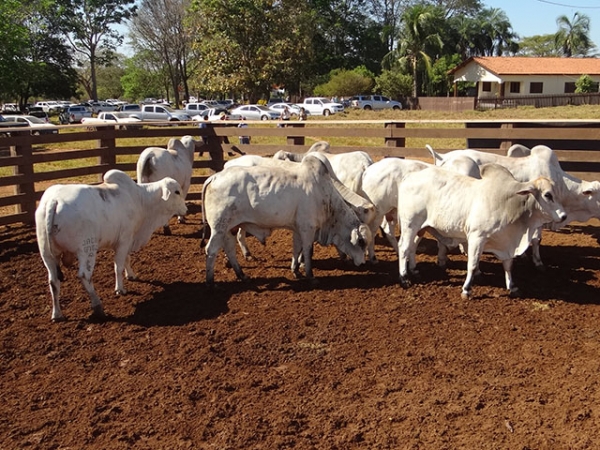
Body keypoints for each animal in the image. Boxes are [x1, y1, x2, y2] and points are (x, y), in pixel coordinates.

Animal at [36, 168, 186, 320]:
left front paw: (131, 275)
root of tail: (54, 200)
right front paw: (120, 289)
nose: (185, 209)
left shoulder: (126, 240)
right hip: (86, 250)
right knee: (84, 276)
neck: (141, 200)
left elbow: (126, 259)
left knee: (53, 281)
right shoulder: (125, 239)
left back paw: (57, 314)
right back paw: (97, 306)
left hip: (47, 254)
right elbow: (118, 266)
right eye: (177, 192)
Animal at [202, 151, 370, 284]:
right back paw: (210, 281)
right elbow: (308, 251)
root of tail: (214, 177)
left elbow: (296, 249)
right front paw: (310, 276)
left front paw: (295, 270)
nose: (363, 263)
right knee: (211, 250)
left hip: (229, 228)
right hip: (218, 228)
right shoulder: (308, 229)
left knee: (230, 248)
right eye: (361, 242)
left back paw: (241, 274)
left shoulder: (298, 229)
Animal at [398, 162, 568, 298]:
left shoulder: (506, 242)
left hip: (421, 227)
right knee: (403, 247)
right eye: (547, 195)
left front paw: (512, 287)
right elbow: (472, 264)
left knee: (413, 246)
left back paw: (414, 270)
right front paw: (466, 290)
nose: (564, 216)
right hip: (410, 225)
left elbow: (508, 265)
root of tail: (409, 178)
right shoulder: (476, 237)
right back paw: (404, 278)